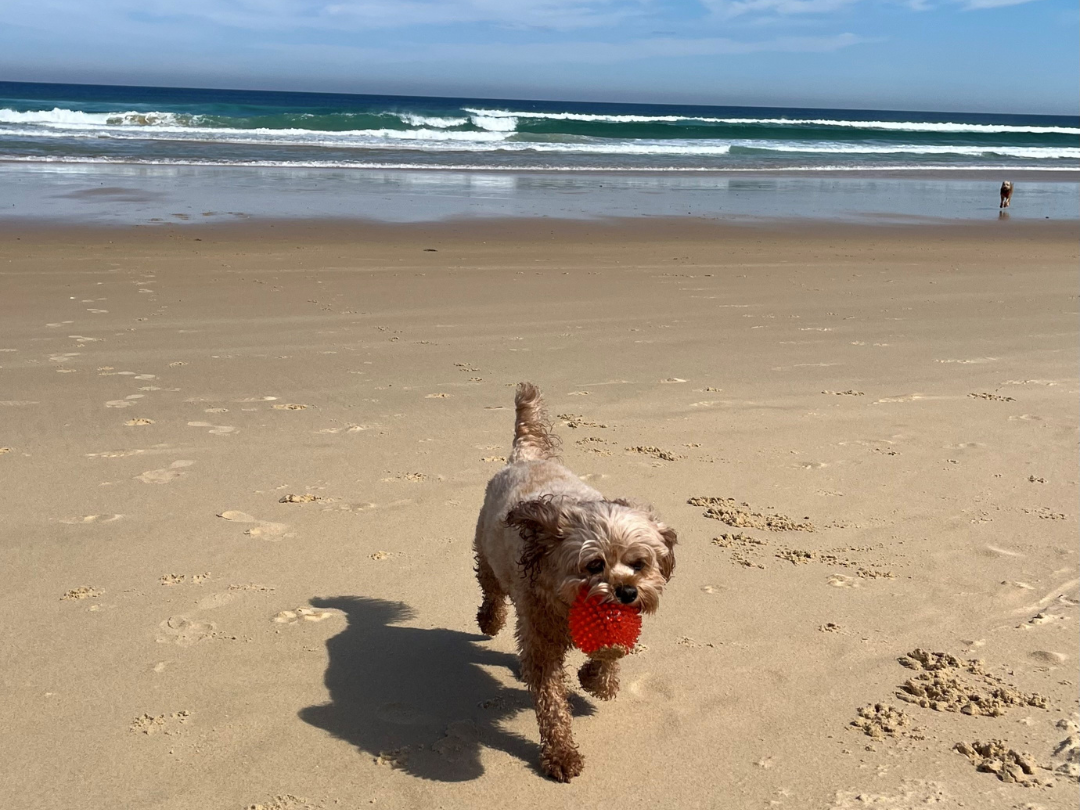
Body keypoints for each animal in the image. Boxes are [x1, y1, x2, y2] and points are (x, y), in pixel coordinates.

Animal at [473, 384, 673, 781]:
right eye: (594, 565)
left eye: (638, 563)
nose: (627, 592)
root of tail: (526, 456)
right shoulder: (541, 639)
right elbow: (551, 702)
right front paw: (561, 753)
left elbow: (613, 649)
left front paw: (597, 679)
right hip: (487, 555)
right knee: (491, 590)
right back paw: (490, 620)